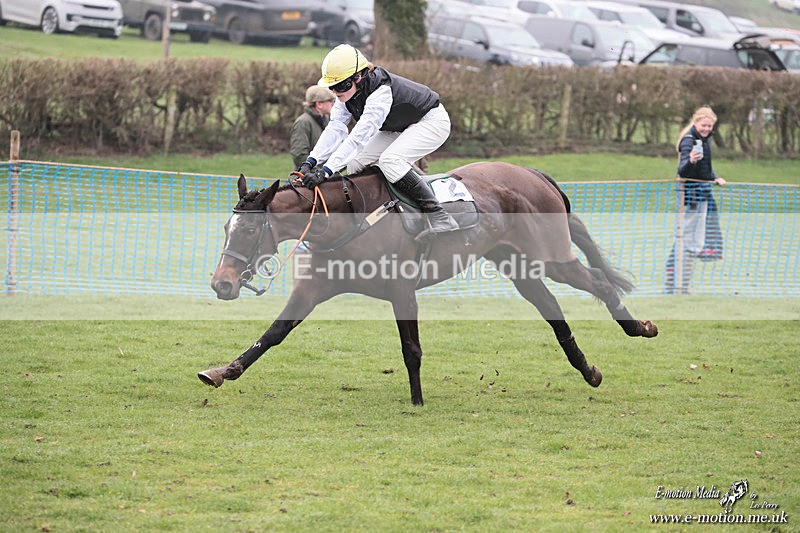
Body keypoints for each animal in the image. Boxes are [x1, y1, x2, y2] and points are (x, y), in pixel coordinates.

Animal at [199, 161, 658, 406]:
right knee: (553, 311)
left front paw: (417, 400)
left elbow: (411, 349)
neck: (345, 220)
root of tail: (533, 173)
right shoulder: (313, 290)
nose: (221, 284)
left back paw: (638, 327)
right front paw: (223, 371)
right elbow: (272, 334)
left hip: (552, 258)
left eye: (247, 231)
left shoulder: (402, 292)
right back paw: (588, 370)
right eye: (225, 227)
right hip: (520, 267)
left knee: (599, 282)